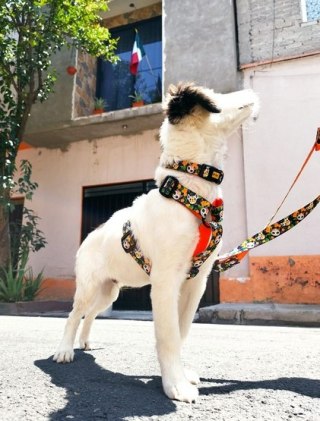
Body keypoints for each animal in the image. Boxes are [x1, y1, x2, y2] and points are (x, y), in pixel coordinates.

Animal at [53, 82, 258, 400]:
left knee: (91, 315)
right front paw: (174, 385)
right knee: (74, 315)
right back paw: (65, 350)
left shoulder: (196, 282)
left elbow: (181, 331)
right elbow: (168, 335)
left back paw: (84, 343)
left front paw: (180, 375)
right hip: (87, 287)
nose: (251, 90)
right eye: (217, 94)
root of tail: (91, 234)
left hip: (109, 291)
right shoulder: (165, 281)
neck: (190, 192)